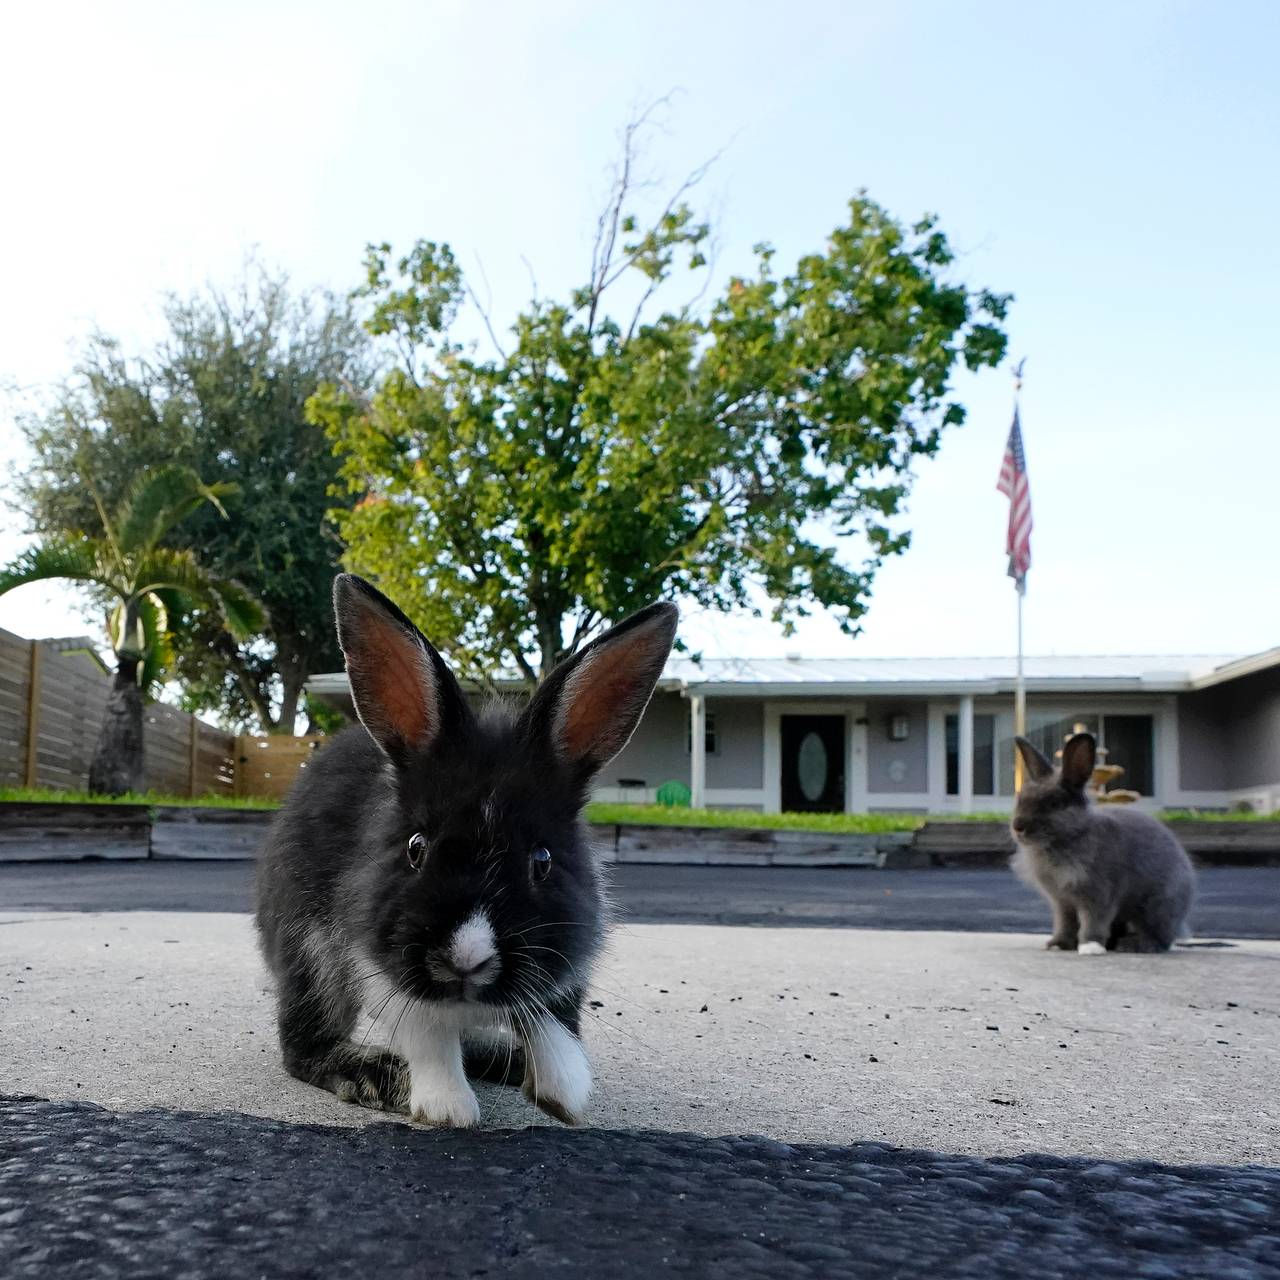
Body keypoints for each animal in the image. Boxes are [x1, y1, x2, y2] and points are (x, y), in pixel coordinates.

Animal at [257, 576, 680, 1126]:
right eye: (416, 848)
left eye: (542, 861)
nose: (467, 959)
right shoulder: (377, 962)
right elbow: (429, 1035)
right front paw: (448, 1108)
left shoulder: (565, 967)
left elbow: (554, 1025)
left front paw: (563, 1092)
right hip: (307, 957)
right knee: (303, 1046)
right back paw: (375, 1074)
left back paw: (504, 1059)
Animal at [1008, 732, 1198, 952]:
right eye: (1020, 799)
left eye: (1054, 803)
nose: (1018, 826)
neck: (1068, 837)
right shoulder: (1062, 903)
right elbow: (1065, 924)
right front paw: (1058, 944)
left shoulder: (1099, 895)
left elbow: (1092, 923)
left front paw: (1090, 946)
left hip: (1156, 907)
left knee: (1159, 938)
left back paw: (1132, 944)